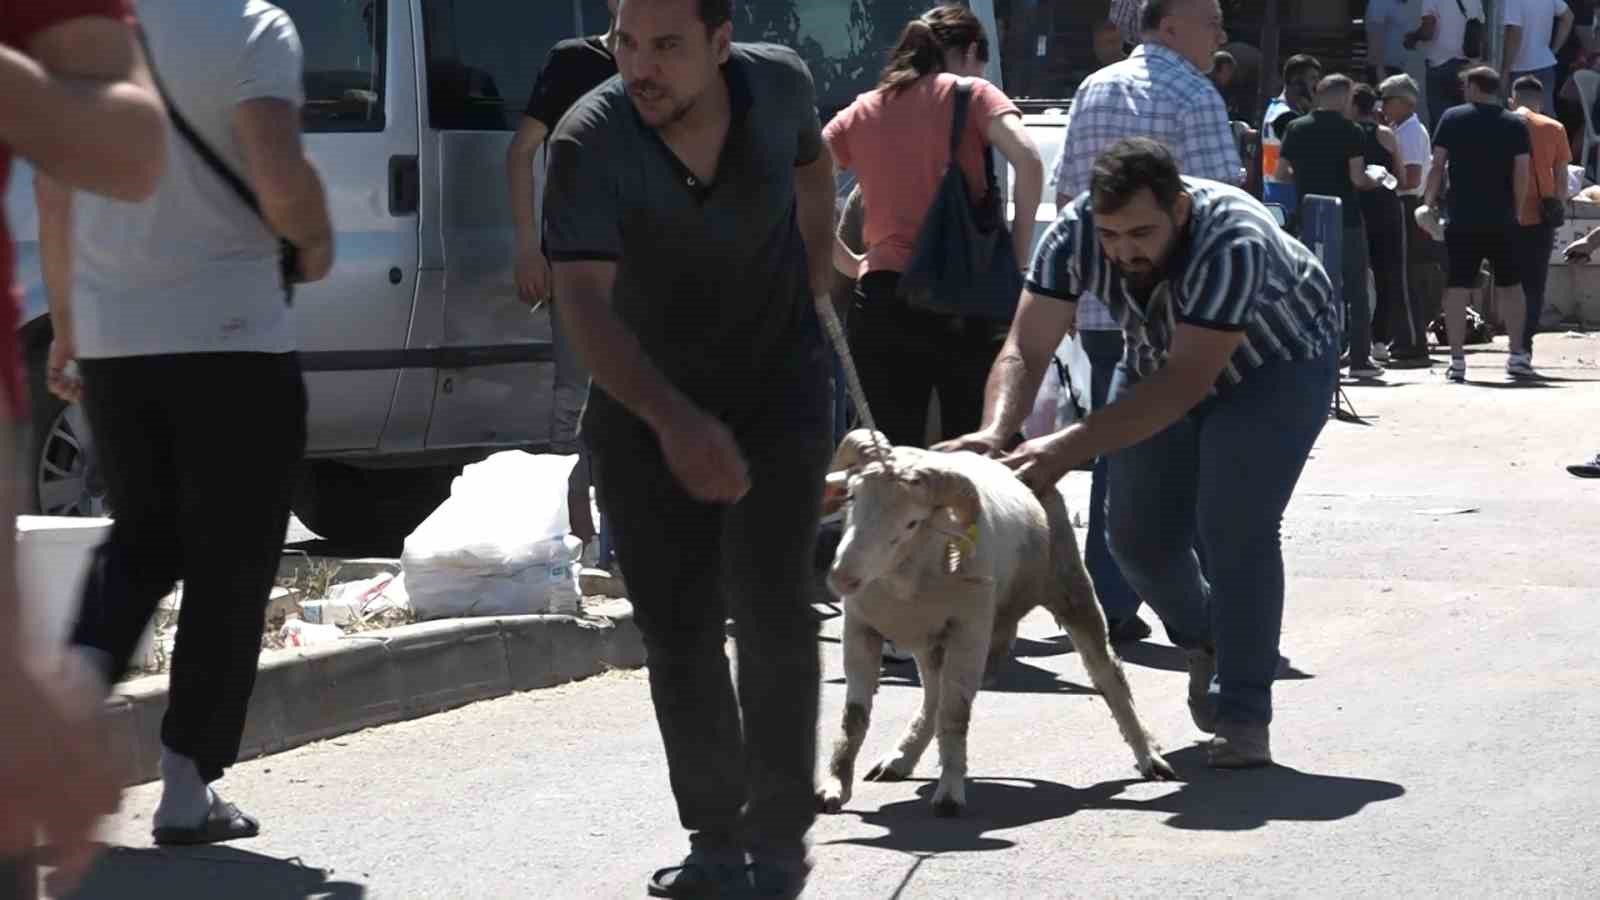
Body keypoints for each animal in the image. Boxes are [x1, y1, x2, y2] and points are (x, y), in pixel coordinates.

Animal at [819, 425, 1171, 813]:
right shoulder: (860, 628)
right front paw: (833, 787)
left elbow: (954, 713)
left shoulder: (969, 632)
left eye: (912, 522)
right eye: (853, 497)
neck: (903, 585)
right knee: (932, 695)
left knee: (1108, 675)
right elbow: (854, 718)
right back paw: (899, 760)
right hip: (931, 642)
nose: (842, 577)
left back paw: (1150, 757)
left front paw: (949, 795)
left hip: (1071, 591)